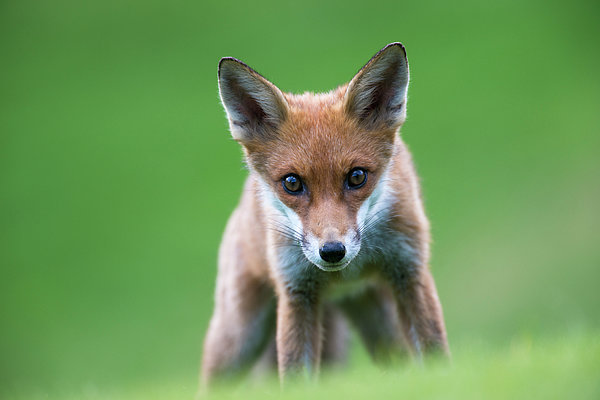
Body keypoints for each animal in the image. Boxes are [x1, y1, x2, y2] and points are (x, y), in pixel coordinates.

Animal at [203, 43, 450, 384]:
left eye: (357, 177)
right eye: (292, 183)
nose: (332, 251)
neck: (346, 272)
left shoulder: (409, 271)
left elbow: (435, 354)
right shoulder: (296, 292)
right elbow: (296, 379)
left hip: (384, 328)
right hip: (238, 338)